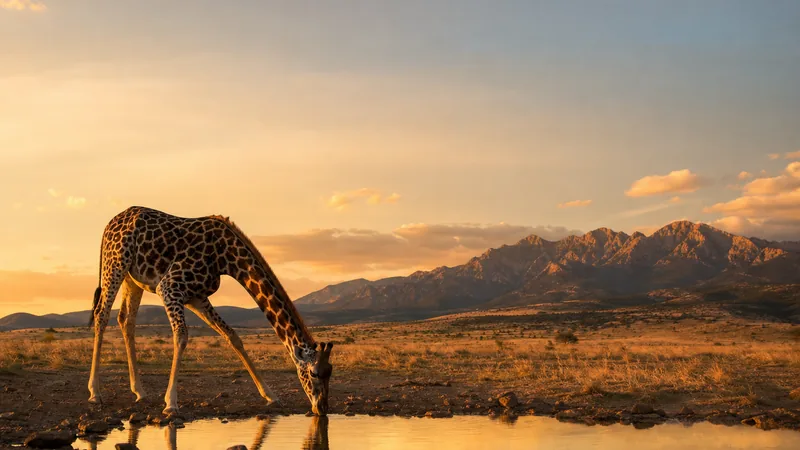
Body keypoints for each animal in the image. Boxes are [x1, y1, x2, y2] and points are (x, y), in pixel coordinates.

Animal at [87, 206, 334, 415]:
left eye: (330, 371)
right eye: (313, 373)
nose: (322, 408)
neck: (227, 257)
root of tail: (109, 224)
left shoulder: (197, 297)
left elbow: (232, 336)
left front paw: (271, 395)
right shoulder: (169, 287)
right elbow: (181, 336)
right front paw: (171, 403)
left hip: (133, 278)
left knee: (126, 319)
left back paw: (139, 391)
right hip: (115, 264)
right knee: (101, 315)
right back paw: (95, 393)